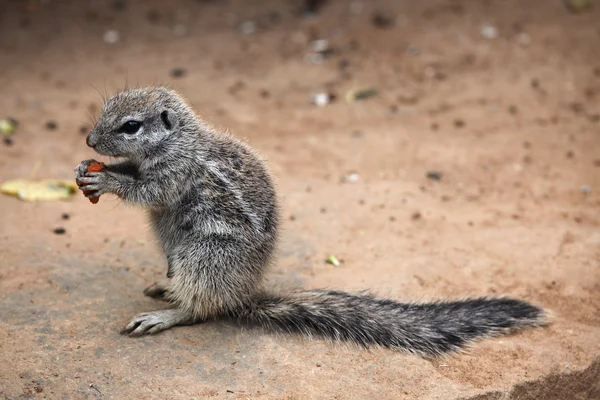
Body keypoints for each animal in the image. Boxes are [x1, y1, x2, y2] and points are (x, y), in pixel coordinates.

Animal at [75, 87, 548, 356]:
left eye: (131, 125)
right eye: (106, 109)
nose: (90, 140)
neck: (176, 141)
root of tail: (242, 295)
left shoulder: (177, 171)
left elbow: (148, 192)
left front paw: (107, 180)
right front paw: (89, 168)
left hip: (206, 255)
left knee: (201, 309)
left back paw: (167, 313)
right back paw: (166, 286)